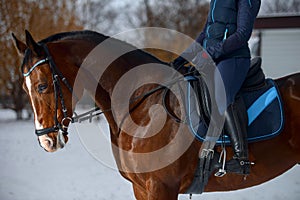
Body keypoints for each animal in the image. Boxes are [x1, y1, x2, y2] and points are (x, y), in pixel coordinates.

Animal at [11, 30, 300, 200]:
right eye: (25, 88)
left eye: (42, 86)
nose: (46, 141)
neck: (141, 106)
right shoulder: (141, 188)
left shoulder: (162, 187)